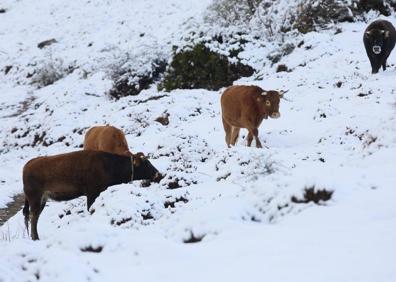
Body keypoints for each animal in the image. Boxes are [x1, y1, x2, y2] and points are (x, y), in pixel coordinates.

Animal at [21, 150, 160, 240]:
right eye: (147, 163)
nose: (158, 174)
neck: (109, 166)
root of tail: (26, 166)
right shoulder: (92, 192)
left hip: (42, 200)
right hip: (35, 198)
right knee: (33, 218)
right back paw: (35, 238)